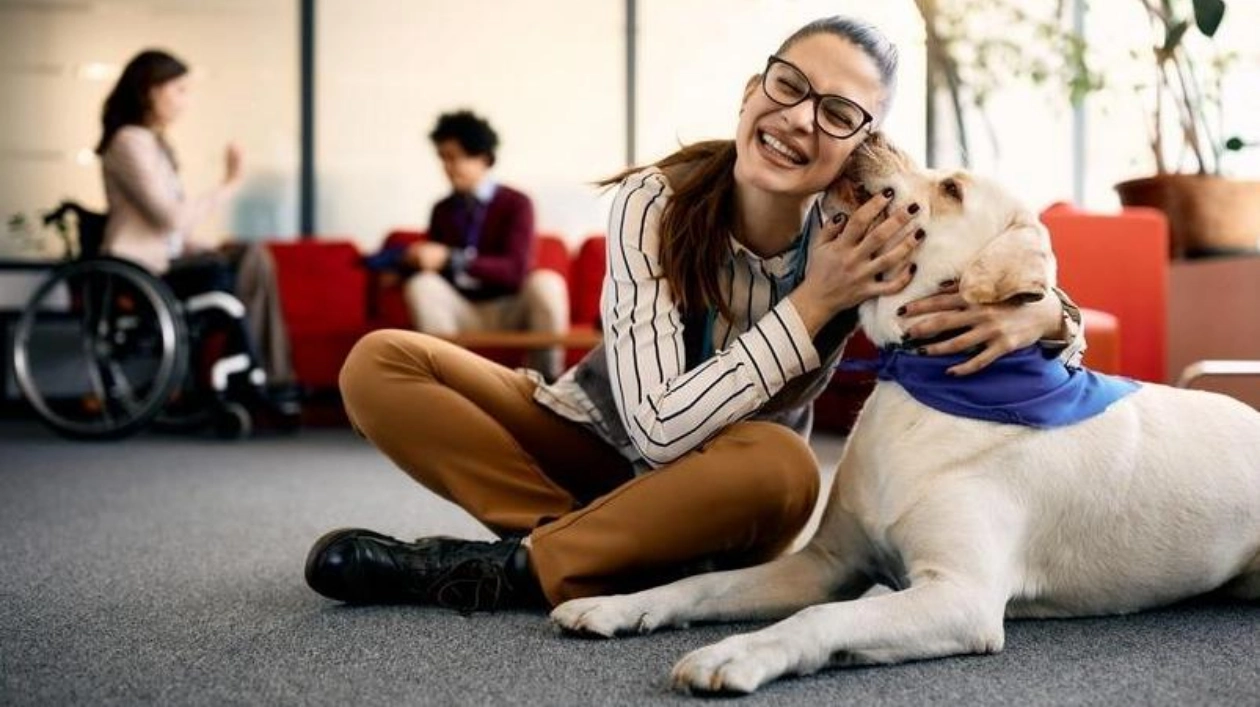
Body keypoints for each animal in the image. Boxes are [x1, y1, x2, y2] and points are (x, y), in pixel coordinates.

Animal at [551, 133, 1260, 695]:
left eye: (950, 187)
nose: (868, 132)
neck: (924, 386)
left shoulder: (959, 595)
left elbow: (821, 618)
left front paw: (734, 656)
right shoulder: (827, 563)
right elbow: (704, 587)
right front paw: (618, 605)